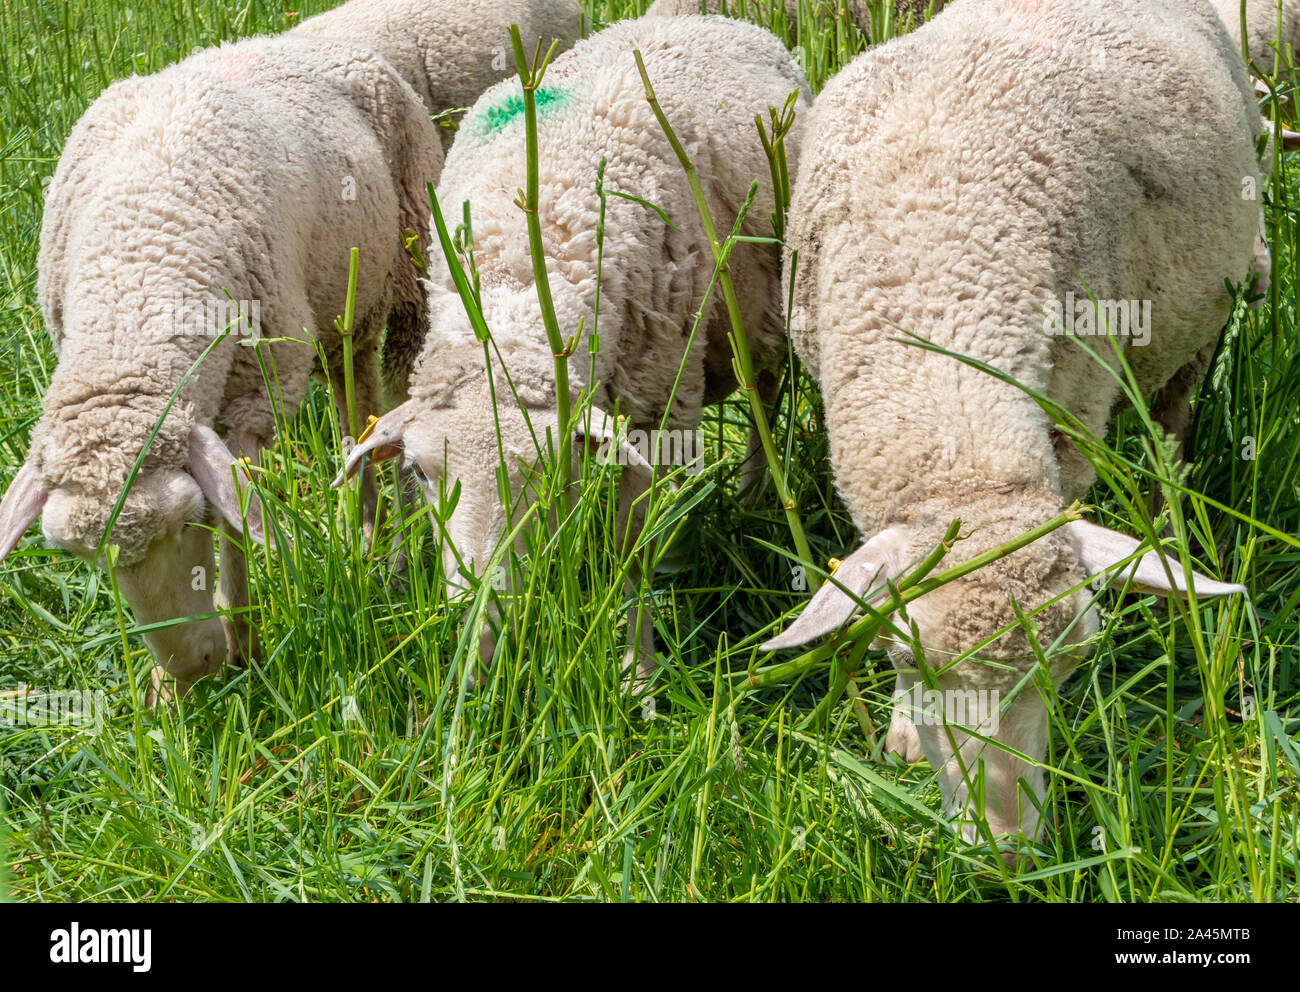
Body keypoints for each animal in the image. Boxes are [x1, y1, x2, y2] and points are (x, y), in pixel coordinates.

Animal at [0, 34, 442, 702]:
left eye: (190, 520)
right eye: (87, 559)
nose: (192, 669)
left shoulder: (254, 398)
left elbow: (238, 522)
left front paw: (245, 647)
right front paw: (167, 686)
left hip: (411, 259)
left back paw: (379, 538)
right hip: (340, 307)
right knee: (353, 391)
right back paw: (362, 523)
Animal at [337, 14, 810, 680]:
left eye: (546, 471)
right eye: (419, 473)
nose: (483, 629)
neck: (515, 276)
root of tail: (704, 17)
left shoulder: (656, 405)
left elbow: (631, 551)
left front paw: (638, 674)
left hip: (764, 307)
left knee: (765, 390)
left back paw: (752, 497)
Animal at [761, 0, 1256, 858]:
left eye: (1074, 664)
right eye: (904, 660)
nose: (1007, 848)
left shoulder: (1078, 407)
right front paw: (901, 730)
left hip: (1196, 328)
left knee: (1171, 436)